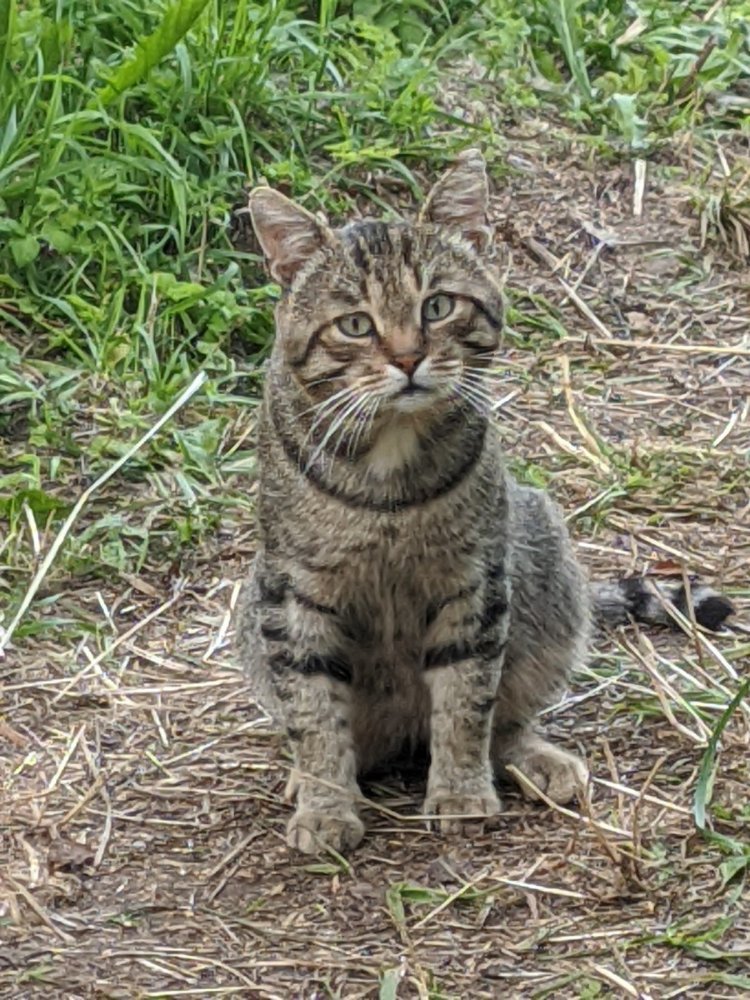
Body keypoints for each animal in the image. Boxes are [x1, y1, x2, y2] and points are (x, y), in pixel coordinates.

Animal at [235, 150, 734, 855]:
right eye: (355, 324)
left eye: (438, 306)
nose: (408, 358)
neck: (388, 464)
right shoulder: (296, 591)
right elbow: (313, 712)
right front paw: (326, 805)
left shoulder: (473, 581)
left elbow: (467, 702)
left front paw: (461, 792)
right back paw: (307, 778)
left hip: (541, 552)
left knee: (506, 715)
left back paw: (534, 759)